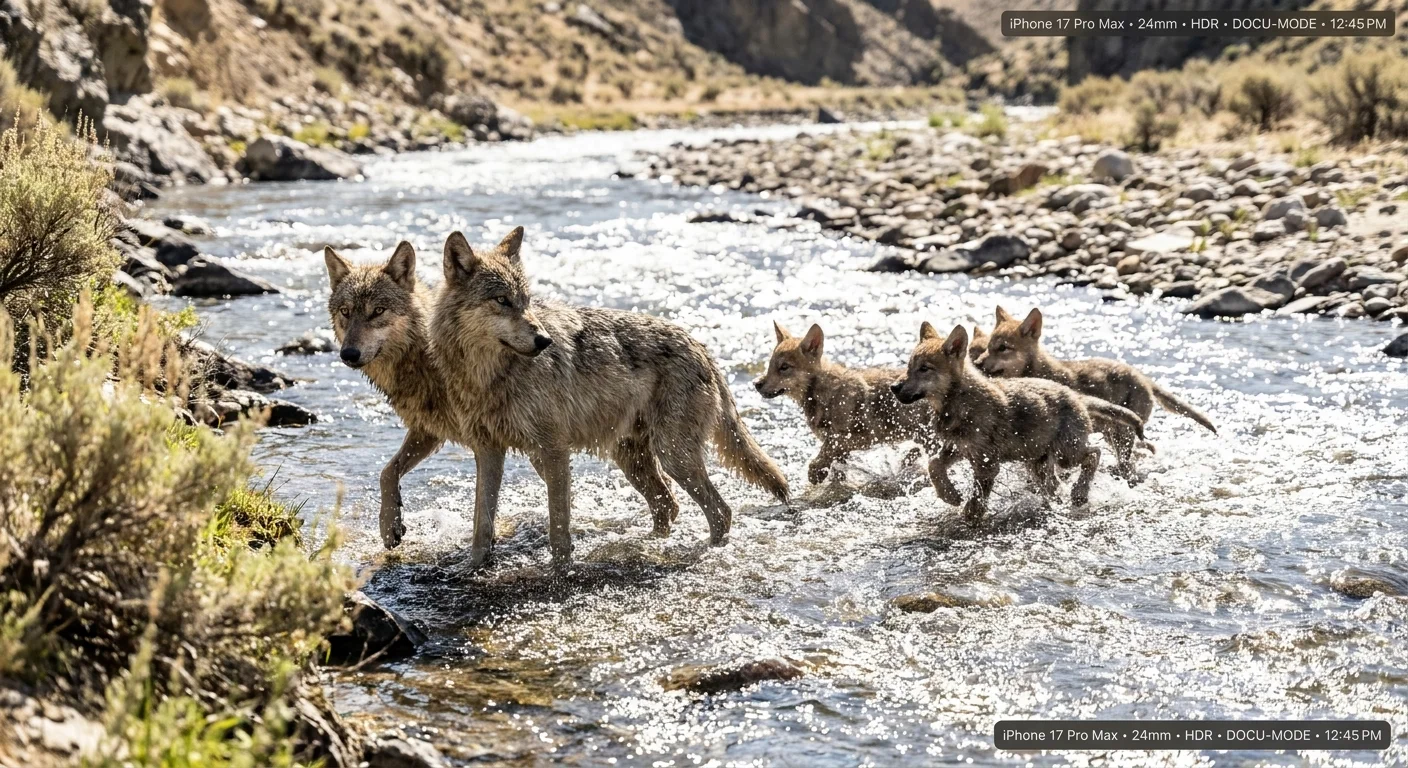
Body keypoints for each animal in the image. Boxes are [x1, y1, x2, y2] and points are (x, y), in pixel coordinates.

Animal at [324, 242, 453, 550]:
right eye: (346, 311)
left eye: (378, 311)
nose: (349, 354)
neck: (421, 355)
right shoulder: (427, 430)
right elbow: (387, 472)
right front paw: (389, 524)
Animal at [429, 228, 789, 568]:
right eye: (502, 300)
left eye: (526, 301)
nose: (545, 340)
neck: (489, 376)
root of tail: (700, 345)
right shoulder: (488, 451)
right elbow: (481, 525)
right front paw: (473, 568)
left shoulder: (553, 450)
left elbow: (558, 527)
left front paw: (560, 573)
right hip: (632, 460)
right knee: (668, 505)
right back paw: (646, 544)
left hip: (673, 456)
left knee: (719, 511)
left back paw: (706, 553)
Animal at [753, 322, 939, 484]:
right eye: (770, 365)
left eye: (784, 367)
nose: (756, 383)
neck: (823, 393)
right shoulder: (841, 448)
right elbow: (835, 466)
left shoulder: (860, 437)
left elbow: (826, 451)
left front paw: (815, 473)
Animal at [892, 323, 1145, 522]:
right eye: (908, 367)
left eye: (924, 369)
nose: (894, 387)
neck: (958, 401)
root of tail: (1077, 396)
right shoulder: (957, 447)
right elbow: (934, 465)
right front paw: (950, 495)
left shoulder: (986, 462)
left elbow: (976, 498)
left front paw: (969, 514)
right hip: (1038, 461)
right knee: (1054, 486)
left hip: (1066, 454)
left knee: (1094, 454)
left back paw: (1079, 493)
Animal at [975, 306, 1217, 480]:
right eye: (988, 347)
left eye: (1003, 348)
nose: (976, 364)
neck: (1039, 371)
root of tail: (1144, 378)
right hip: (1112, 432)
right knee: (1143, 451)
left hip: (1121, 434)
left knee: (1131, 460)